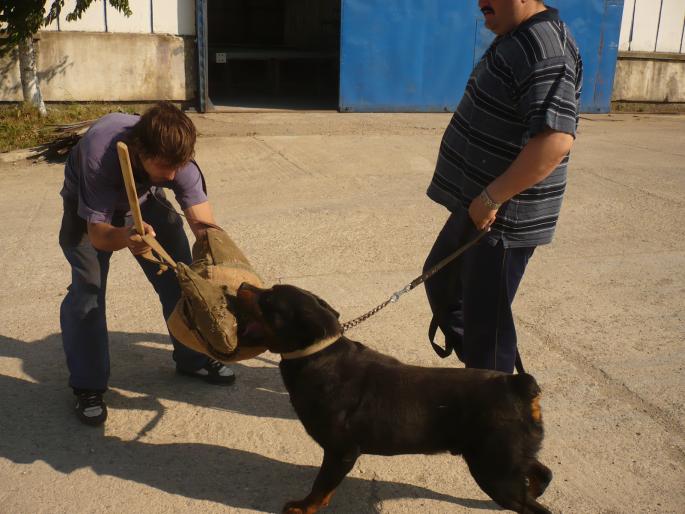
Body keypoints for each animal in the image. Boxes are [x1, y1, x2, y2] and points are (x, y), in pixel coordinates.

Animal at [235, 282, 552, 510]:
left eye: (268, 300)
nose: (242, 284)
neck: (319, 356)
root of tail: (517, 384)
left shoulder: (341, 451)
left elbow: (320, 486)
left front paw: (303, 507)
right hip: (509, 458)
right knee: (543, 473)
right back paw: (535, 488)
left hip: (495, 469)